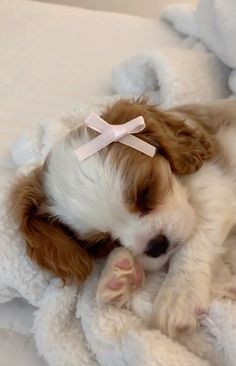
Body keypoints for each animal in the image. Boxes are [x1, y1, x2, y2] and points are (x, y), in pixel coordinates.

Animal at [8, 98, 236, 338]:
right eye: (103, 241)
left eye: (145, 191)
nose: (156, 245)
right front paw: (118, 275)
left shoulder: (215, 190)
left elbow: (192, 244)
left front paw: (178, 294)